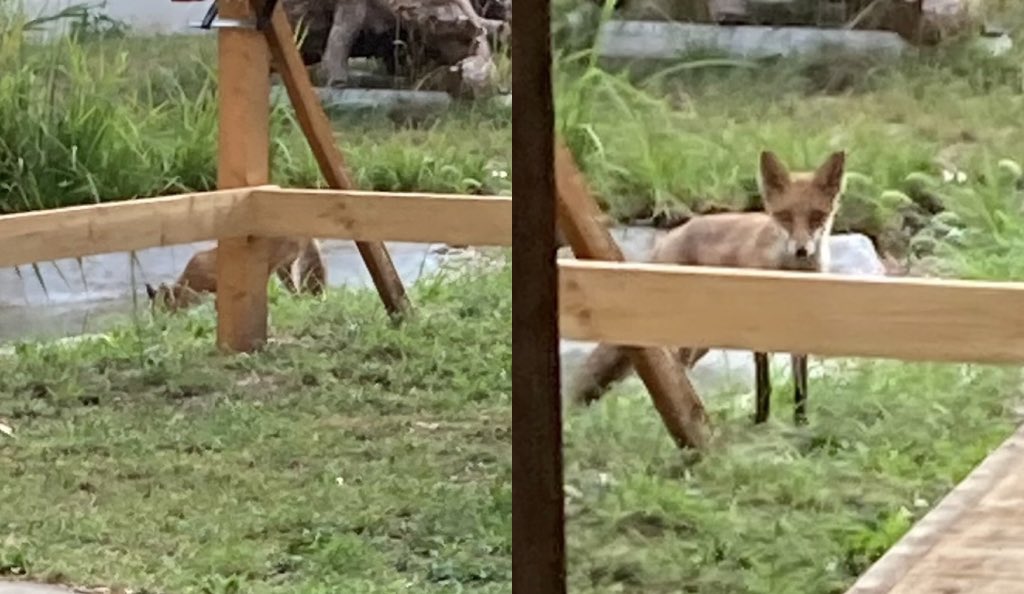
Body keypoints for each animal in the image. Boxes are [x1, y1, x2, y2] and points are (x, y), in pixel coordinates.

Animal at [567, 149, 847, 425]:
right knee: (674, 371)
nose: (801, 250)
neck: (792, 274)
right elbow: (764, 383)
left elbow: (801, 387)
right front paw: (761, 421)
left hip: (703, 340)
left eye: (817, 217)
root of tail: (670, 236)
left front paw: (801, 422)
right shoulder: (759, 329)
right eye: (785, 216)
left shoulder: (801, 326)